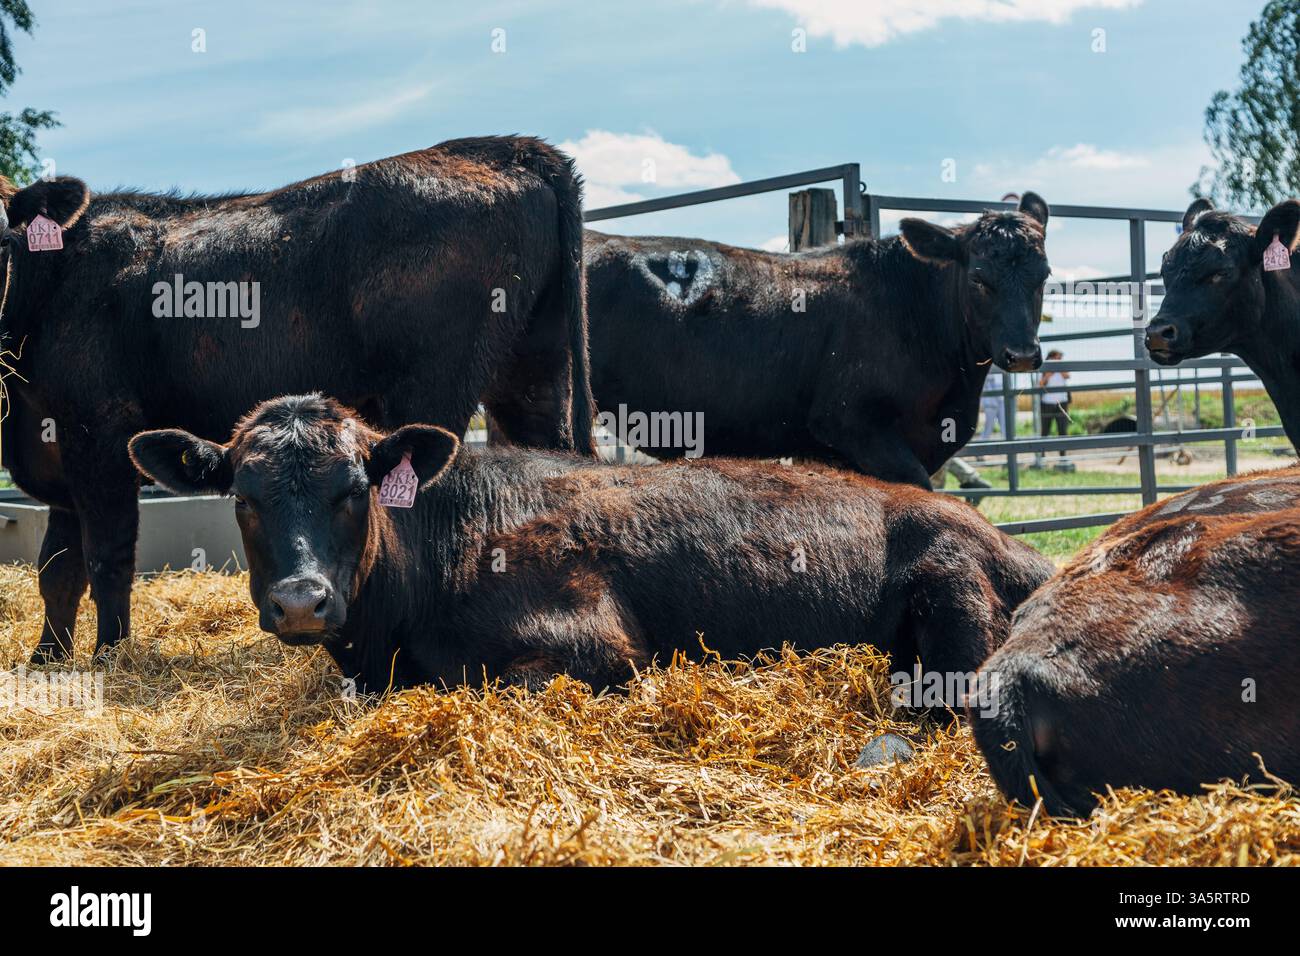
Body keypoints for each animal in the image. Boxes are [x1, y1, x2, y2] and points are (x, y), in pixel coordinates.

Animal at [0, 136, 594, 663]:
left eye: (3, 238)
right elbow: (57, 569)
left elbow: (105, 560)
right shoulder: (56, 447)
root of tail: (503, 147)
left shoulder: (98, 433)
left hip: (435, 383)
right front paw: (47, 658)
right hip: (534, 371)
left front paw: (109, 658)